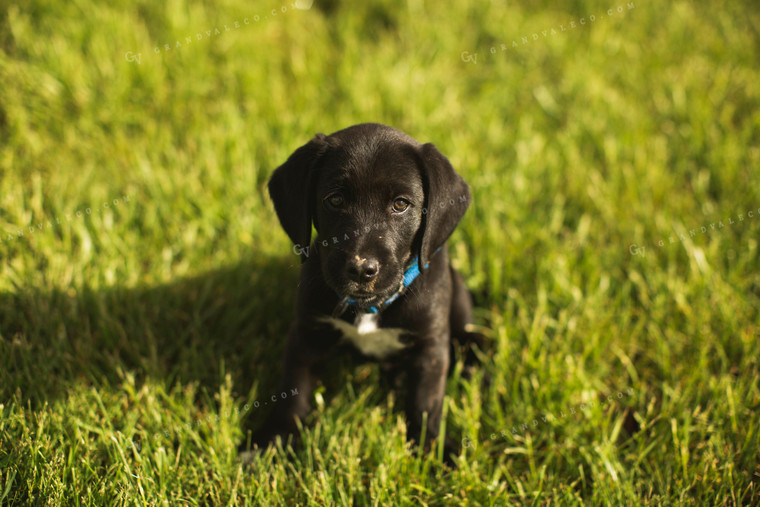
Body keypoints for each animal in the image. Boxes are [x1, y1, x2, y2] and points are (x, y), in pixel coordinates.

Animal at [248, 123, 476, 460]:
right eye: (336, 200)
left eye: (400, 204)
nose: (360, 269)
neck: (369, 306)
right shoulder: (306, 333)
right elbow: (293, 391)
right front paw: (271, 442)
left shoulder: (431, 346)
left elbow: (425, 402)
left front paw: (432, 448)